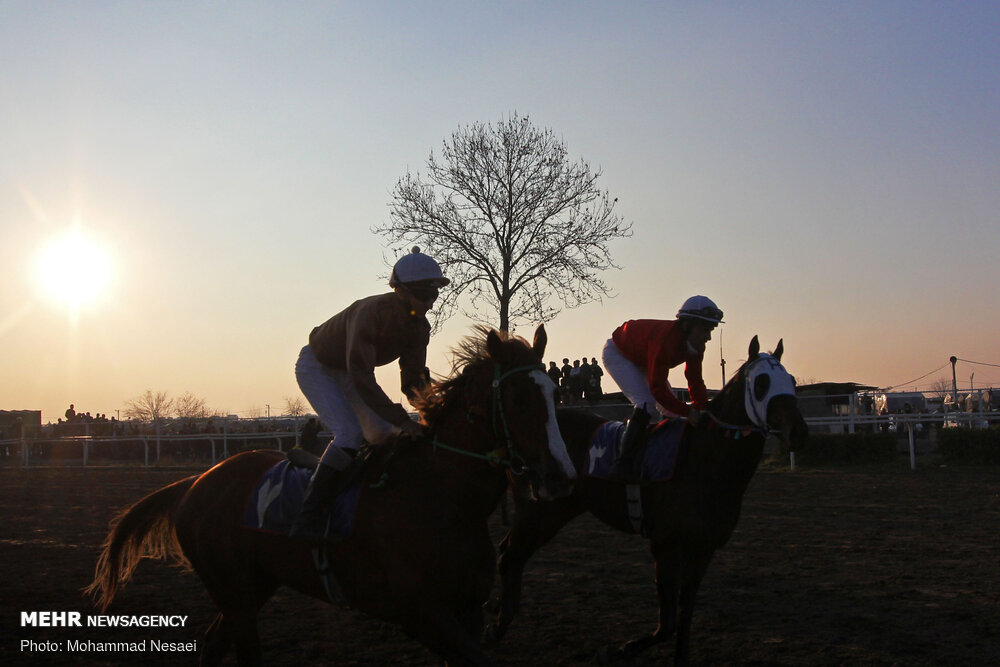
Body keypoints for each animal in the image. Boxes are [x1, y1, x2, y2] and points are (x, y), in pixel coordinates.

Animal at [89, 324, 576, 667]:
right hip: (234, 590)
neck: (441, 498)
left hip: (254, 586)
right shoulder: (421, 614)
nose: (562, 477)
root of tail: (195, 482)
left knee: (212, 645)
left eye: (554, 393)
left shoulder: (467, 612)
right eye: (517, 396)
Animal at [488, 336, 808, 664]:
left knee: (510, 552)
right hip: (543, 511)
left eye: (792, 381)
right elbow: (666, 623)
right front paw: (617, 649)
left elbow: (685, 612)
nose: (799, 432)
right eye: (761, 383)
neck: (704, 461)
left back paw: (498, 611)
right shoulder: (665, 544)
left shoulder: (703, 548)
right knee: (509, 554)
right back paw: (497, 625)